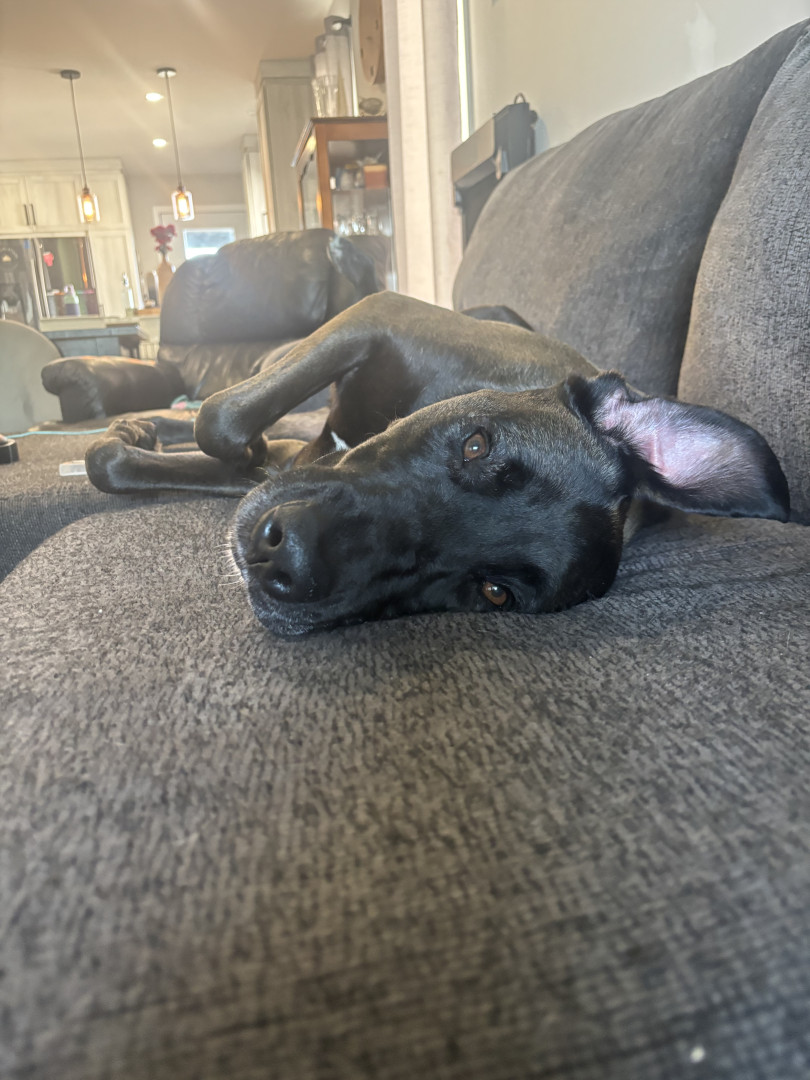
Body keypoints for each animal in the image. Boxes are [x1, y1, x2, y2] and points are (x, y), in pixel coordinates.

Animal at [86, 292, 790, 637]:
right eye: (477, 443)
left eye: (493, 592)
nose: (284, 561)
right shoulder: (378, 312)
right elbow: (221, 419)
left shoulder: (297, 462)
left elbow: (194, 453)